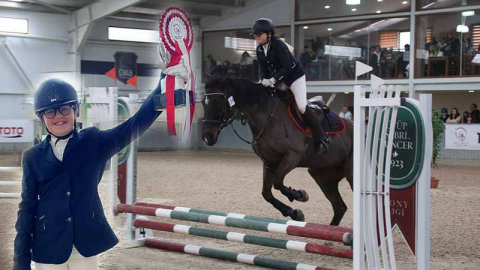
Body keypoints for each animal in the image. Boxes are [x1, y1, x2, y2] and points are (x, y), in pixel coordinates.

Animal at [201, 74, 354, 226]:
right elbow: (266, 193)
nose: (207, 137)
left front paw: (299, 195)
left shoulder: (292, 156)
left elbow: (278, 182)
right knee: (340, 207)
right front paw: (294, 212)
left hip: (349, 174)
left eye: (218, 103)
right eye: (203, 102)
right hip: (322, 175)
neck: (268, 117)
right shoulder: (269, 162)